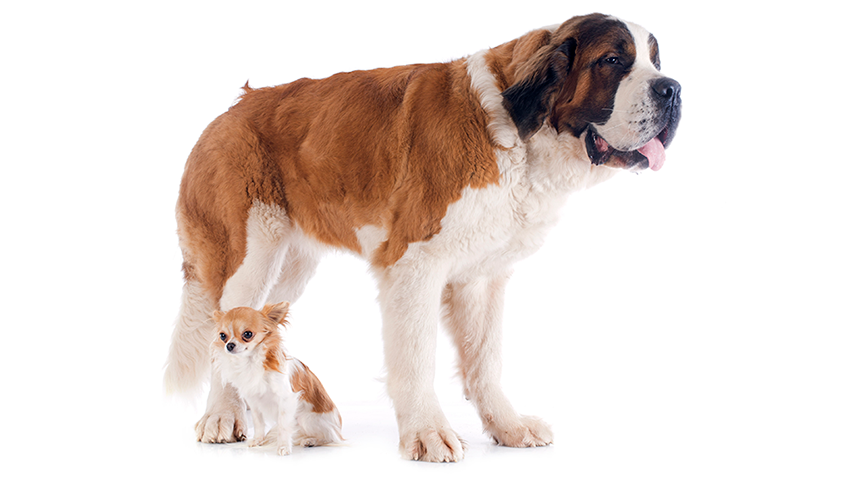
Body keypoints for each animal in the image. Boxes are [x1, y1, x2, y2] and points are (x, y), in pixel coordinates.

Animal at [165, 12, 680, 462]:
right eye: (612, 60)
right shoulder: (414, 265)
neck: (516, 129)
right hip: (250, 256)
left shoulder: (480, 276)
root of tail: (231, 110)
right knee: (226, 325)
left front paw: (507, 427)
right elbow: (416, 360)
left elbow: (486, 359)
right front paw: (427, 433)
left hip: (290, 269)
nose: (673, 88)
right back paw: (222, 417)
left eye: (657, 62)